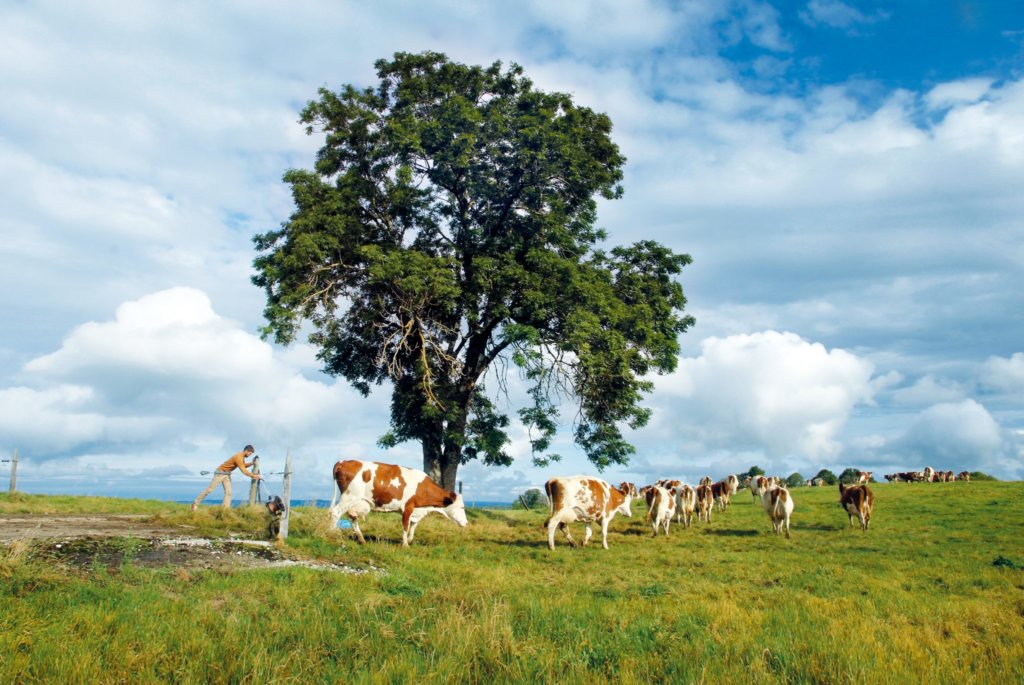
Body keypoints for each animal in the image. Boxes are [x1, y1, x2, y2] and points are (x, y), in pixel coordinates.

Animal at [331, 456, 468, 548]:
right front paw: (405, 545)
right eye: (461, 507)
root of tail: (343, 461)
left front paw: (410, 540)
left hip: (355, 502)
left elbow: (413, 527)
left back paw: (362, 540)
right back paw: (332, 534)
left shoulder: (416, 511)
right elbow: (406, 526)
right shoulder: (407, 507)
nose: (466, 523)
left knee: (352, 517)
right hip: (349, 497)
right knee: (335, 513)